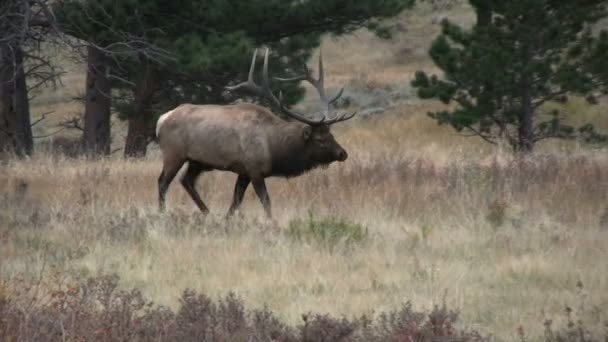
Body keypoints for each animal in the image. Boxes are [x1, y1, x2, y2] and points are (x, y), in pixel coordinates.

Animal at [157, 47, 354, 216]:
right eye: (320, 139)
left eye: (332, 134)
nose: (343, 153)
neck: (274, 148)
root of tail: (161, 120)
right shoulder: (254, 169)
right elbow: (266, 202)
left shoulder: (244, 172)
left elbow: (235, 202)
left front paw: (226, 220)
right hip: (174, 153)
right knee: (163, 182)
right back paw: (162, 213)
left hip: (197, 161)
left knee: (186, 181)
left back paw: (207, 212)